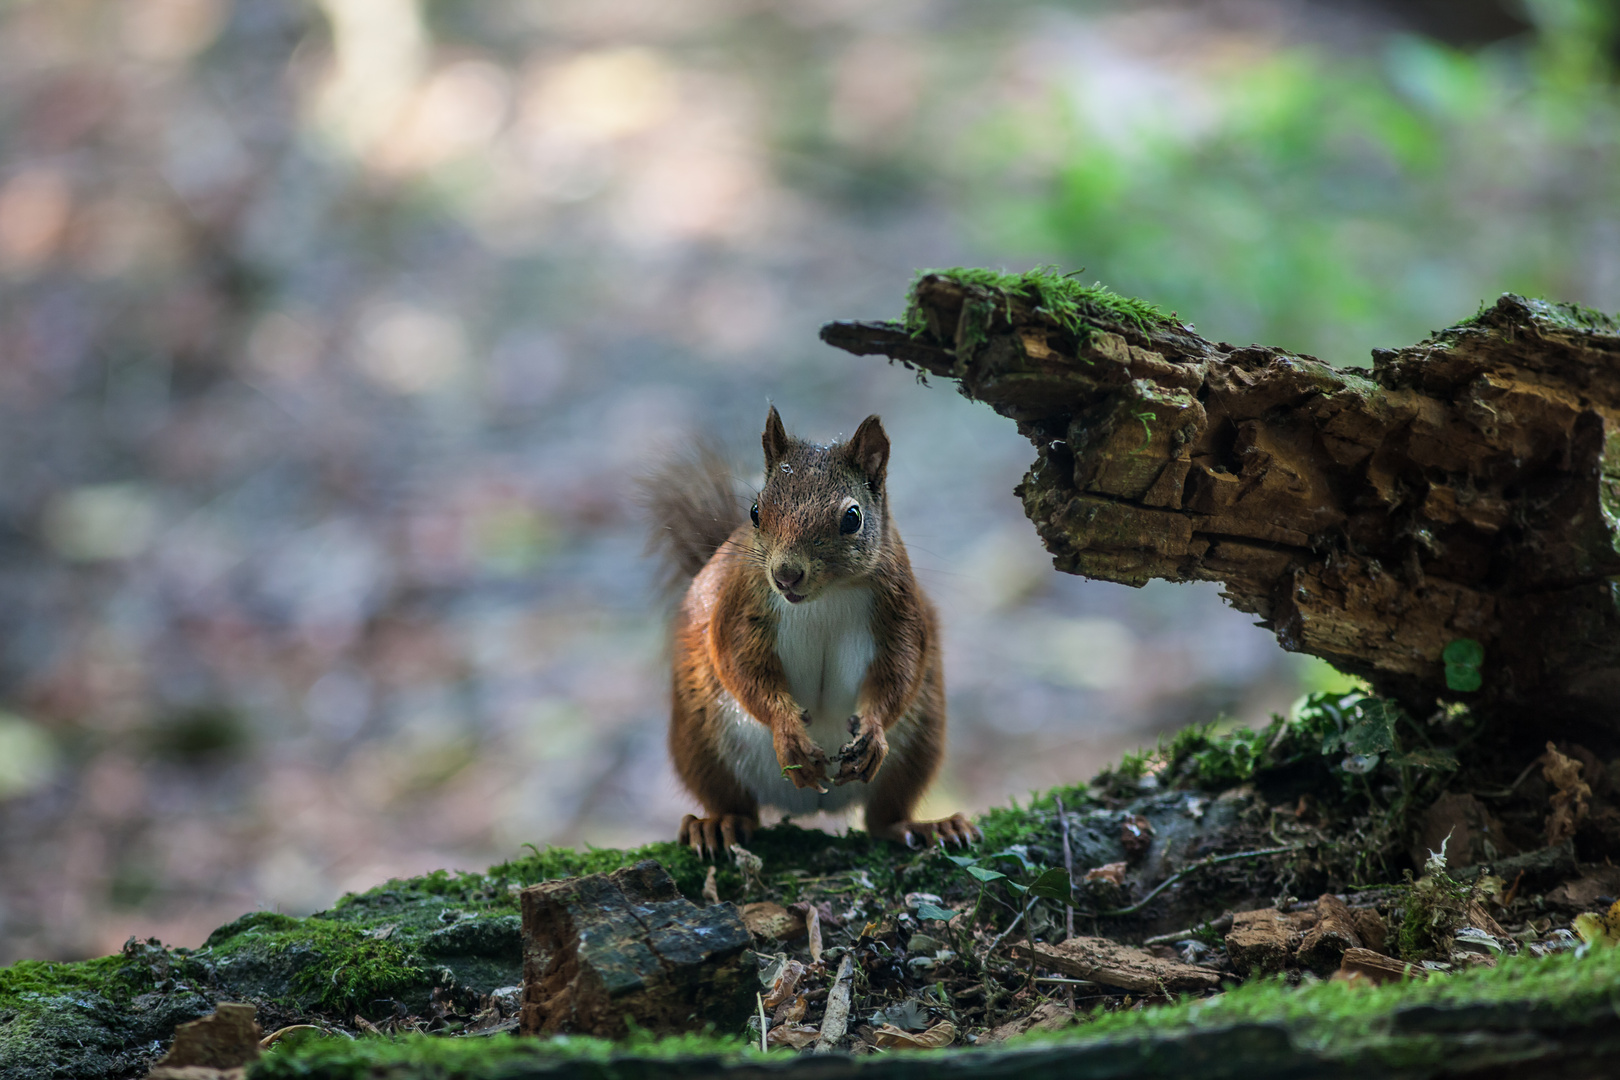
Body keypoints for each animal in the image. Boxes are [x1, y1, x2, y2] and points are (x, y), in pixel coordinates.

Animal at [641, 409, 972, 854]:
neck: (825, 597)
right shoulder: (739, 608)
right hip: (700, 740)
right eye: (755, 511)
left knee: (883, 817)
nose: (785, 574)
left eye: (852, 518)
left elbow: (900, 672)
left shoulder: (902, 612)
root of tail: (811, 805)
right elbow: (742, 668)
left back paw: (928, 827)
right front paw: (788, 733)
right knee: (734, 804)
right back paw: (718, 824)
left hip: (921, 742)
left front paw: (874, 731)